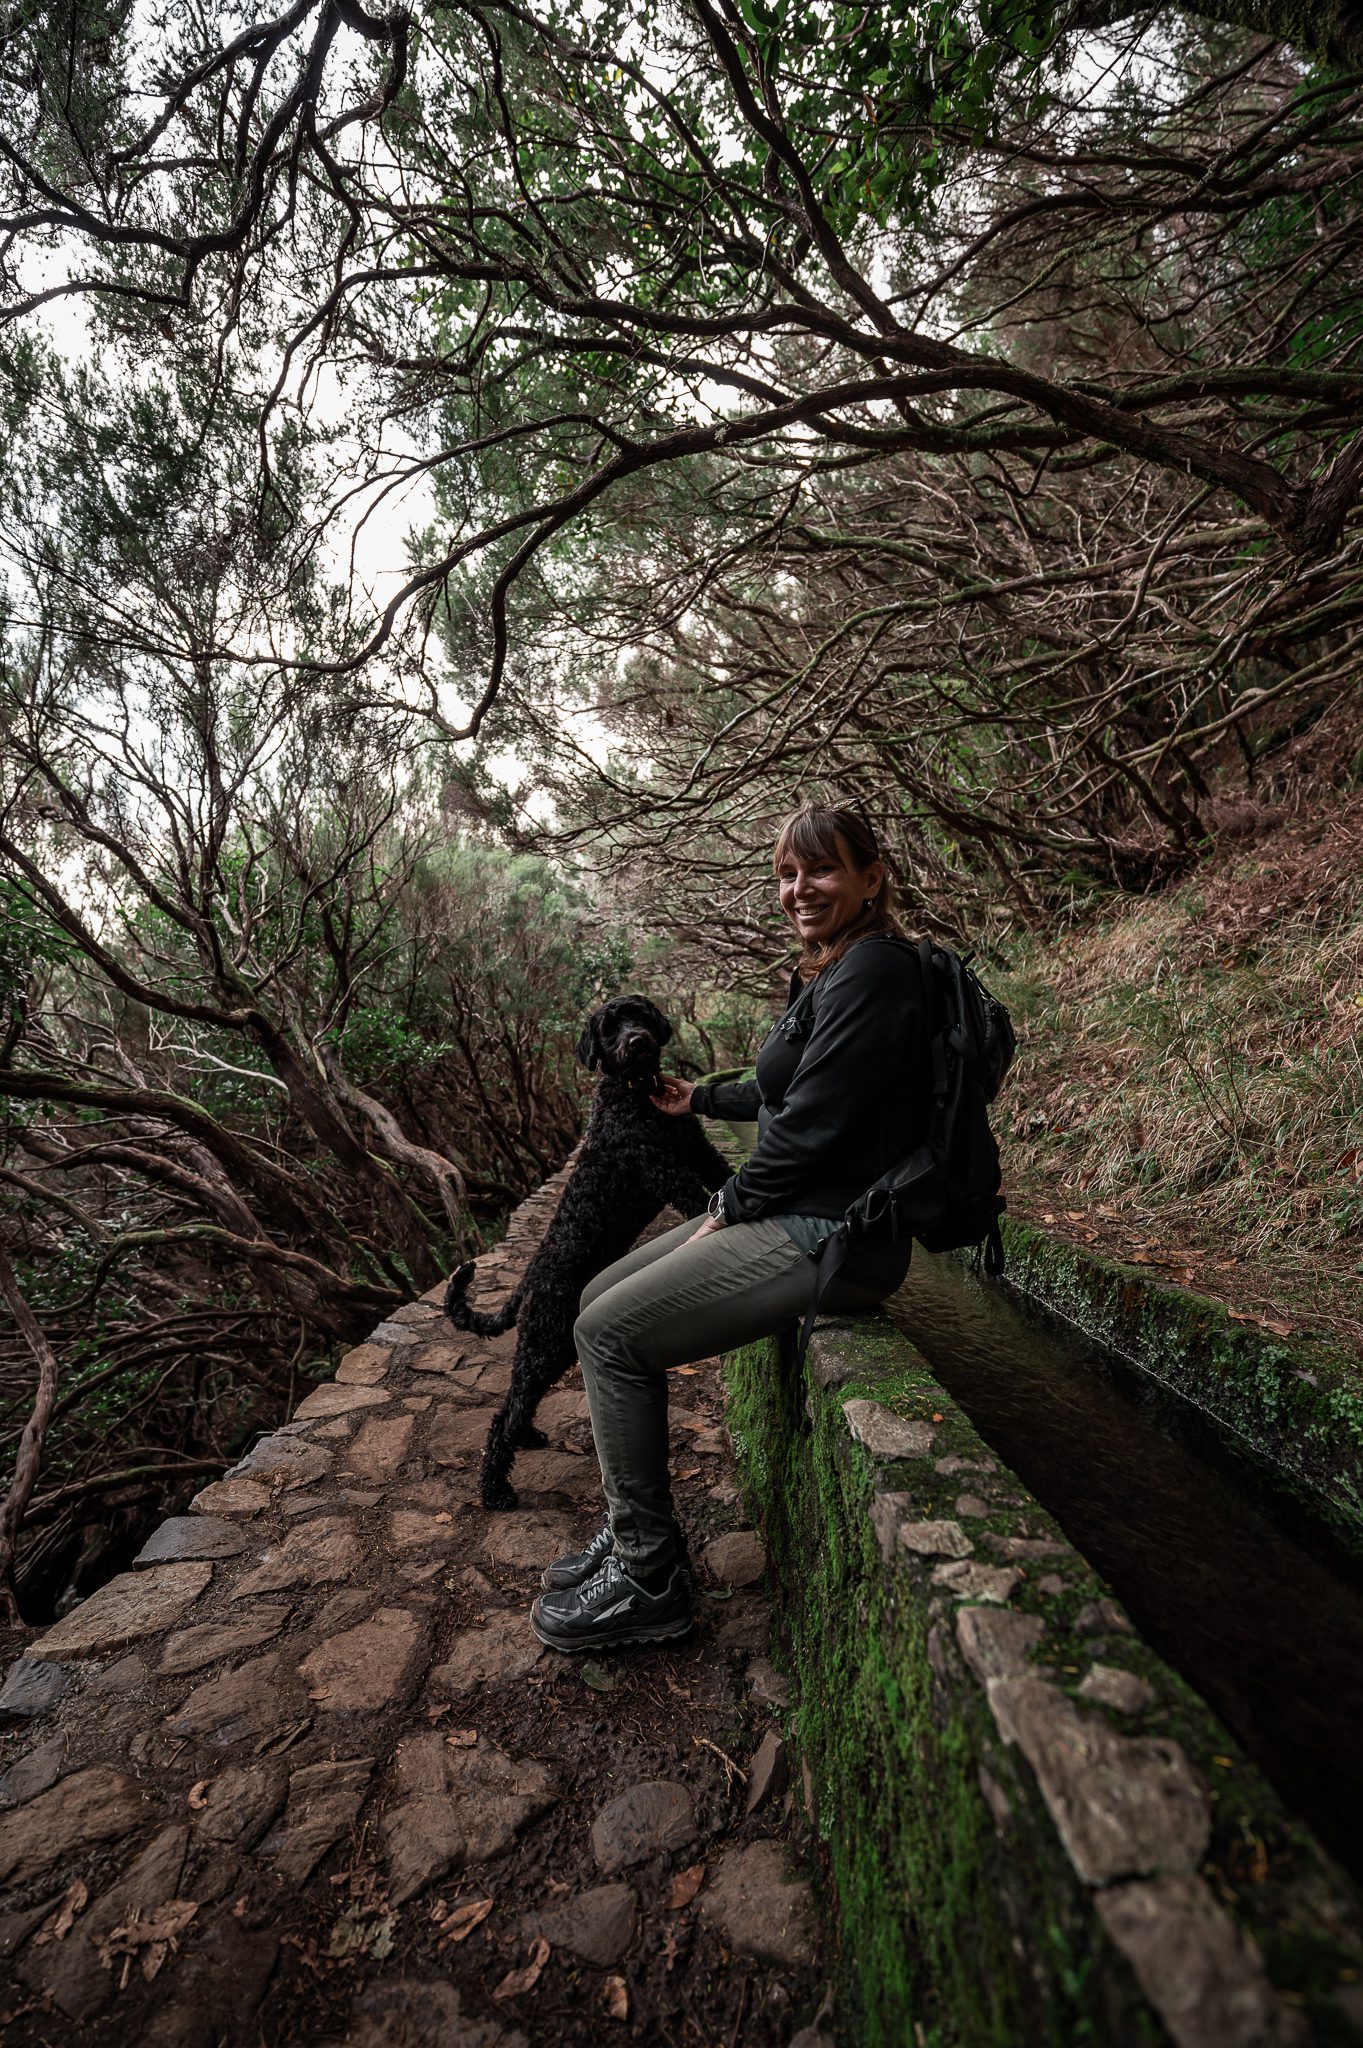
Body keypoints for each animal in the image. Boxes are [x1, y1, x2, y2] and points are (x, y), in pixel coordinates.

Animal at [440, 999, 728, 1515]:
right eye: (609, 1028)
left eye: (639, 1016)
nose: (637, 1041)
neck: (633, 1095)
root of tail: (528, 1282)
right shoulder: (663, 1169)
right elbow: (702, 1200)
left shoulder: (696, 1148)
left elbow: (724, 1174)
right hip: (545, 1341)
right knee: (504, 1413)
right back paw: (494, 1489)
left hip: (551, 1347)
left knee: (516, 1404)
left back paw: (526, 1437)